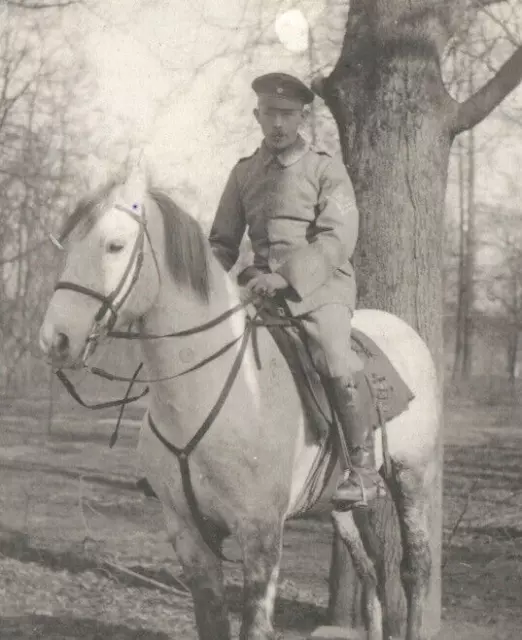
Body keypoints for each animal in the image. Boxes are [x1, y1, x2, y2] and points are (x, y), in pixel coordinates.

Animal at [39, 166, 438, 640]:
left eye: (114, 245)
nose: (55, 340)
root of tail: (408, 335)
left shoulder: (260, 535)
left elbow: (255, 626)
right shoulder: (187, 534)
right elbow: (212, 620)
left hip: (412, 478)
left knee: (415, 570)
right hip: (345, 509)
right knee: (372, 570)